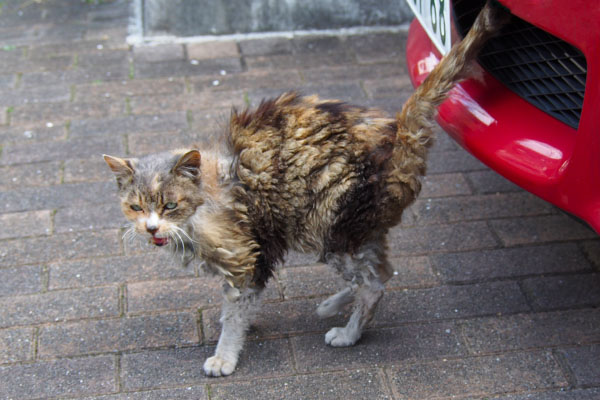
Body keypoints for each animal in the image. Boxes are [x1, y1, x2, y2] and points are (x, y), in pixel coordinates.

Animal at [103, 2, 506, 378]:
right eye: (136, 207)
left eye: (170, 205)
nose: (150, 228)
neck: (200, 209)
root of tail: (399, 133)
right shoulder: (259, 253)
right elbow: (240, 305)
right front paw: (245, 324)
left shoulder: (241, 256)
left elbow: (233, 315)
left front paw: (224, 356)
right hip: (357, 231)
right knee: (382, 272)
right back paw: (332, 307)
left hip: (329, 225)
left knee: (373, 285)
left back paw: (347, 332)